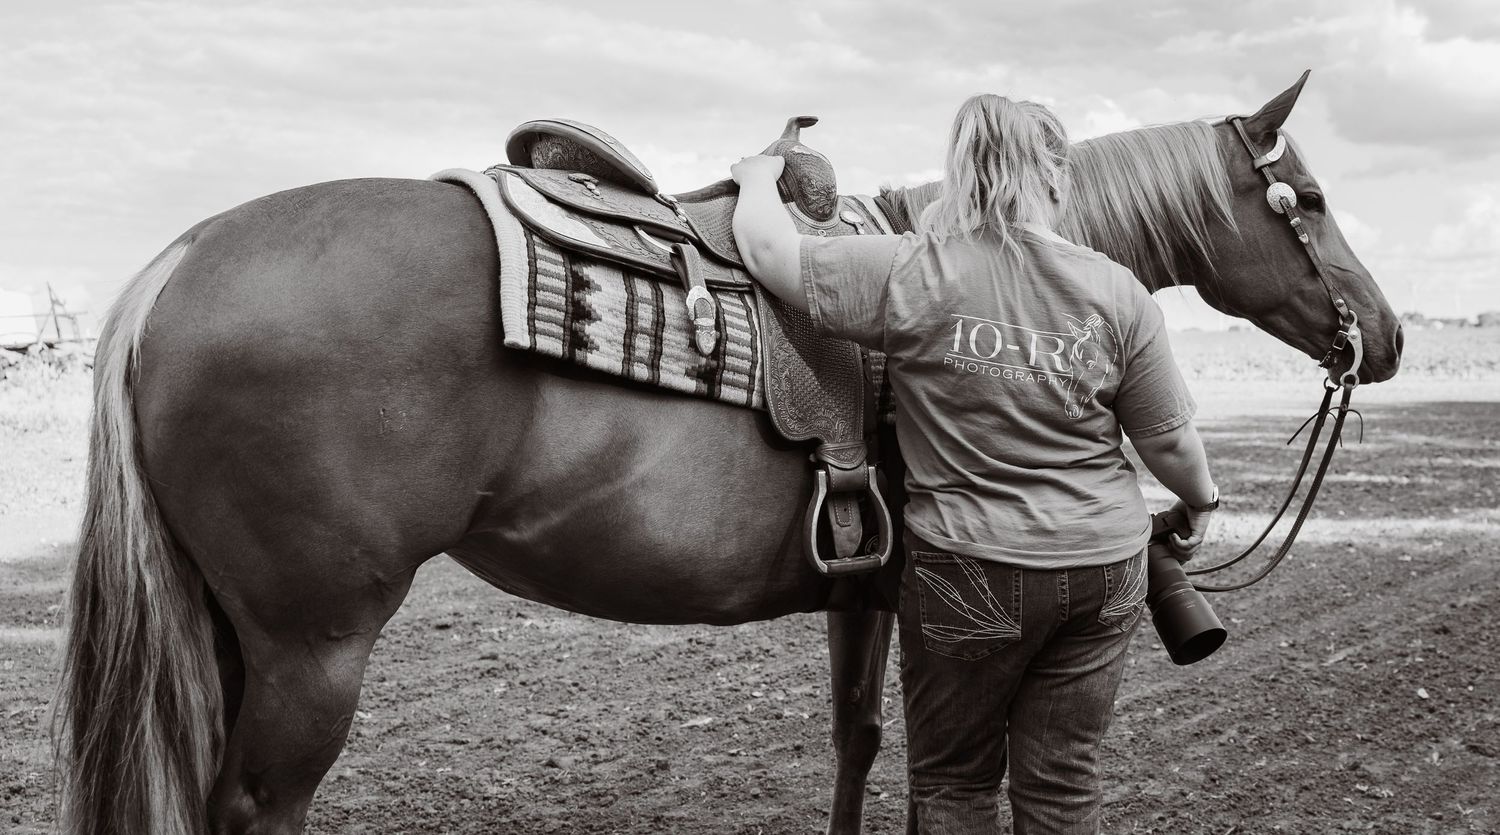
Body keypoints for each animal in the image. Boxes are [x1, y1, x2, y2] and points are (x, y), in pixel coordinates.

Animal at [54, 71, 1401, 835]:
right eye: (1315, 200)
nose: (1381, 335)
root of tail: (180, 261)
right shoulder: (924, 600)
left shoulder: (866, 586)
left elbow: (857, 742)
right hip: (313, 644)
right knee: (257, 806)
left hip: (235, 632)